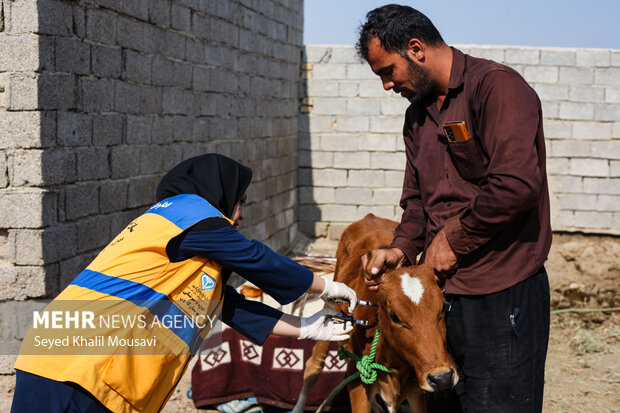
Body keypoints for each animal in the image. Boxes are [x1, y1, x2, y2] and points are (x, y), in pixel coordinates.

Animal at [294, 214, 458, 410]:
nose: (442, 378)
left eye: (442, 308)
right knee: (314, 365)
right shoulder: (357, 382)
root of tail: (371, 217)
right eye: (394, 316)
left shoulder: (416, 392)